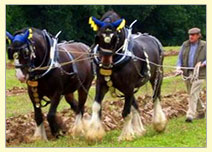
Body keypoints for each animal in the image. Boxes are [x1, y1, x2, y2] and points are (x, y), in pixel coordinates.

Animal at [85, 11, 168, 141]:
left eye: (115, 37)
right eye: (98, 37)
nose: (105, 63)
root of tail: (153, 39)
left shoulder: (129, 86)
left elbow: (126, 112)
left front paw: (126, 135)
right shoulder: (101, 84)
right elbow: (96, 106)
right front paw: (94, 133)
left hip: (157, 76)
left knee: (156, 97)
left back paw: (159, 123)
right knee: (136, 104)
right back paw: (139, 129)